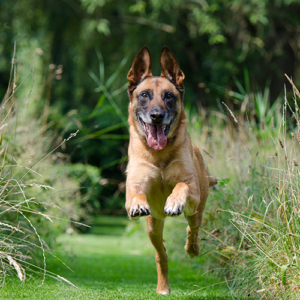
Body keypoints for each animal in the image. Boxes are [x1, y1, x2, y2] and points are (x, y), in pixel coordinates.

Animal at [125, 45, 216, 294]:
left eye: (169, 96)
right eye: (144, 95)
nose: (157, 116)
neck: (159, 155)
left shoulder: (191, 188)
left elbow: (182, 185)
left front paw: (174, 201)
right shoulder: (135, 185)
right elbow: (135, 194)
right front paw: (138, 204)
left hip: (197, 210)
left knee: (192, 230)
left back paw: (192, 249)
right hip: (153, 226)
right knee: (161, 255)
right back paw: (163, 286)